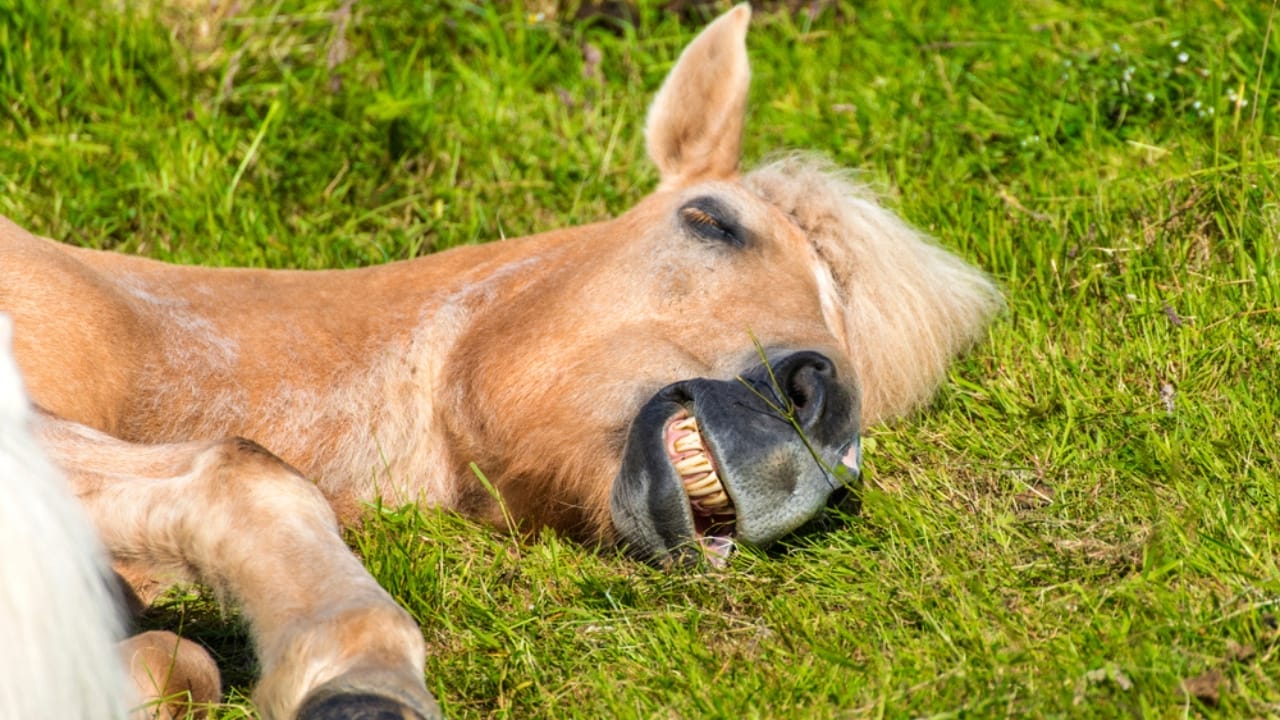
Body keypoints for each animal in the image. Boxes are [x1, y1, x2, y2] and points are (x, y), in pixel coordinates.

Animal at [0, 5, 1001, 719]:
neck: (146, 329)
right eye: (710, 220)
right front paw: (358, 683)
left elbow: (177, 662)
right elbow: (244, 478)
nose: (821, 406)